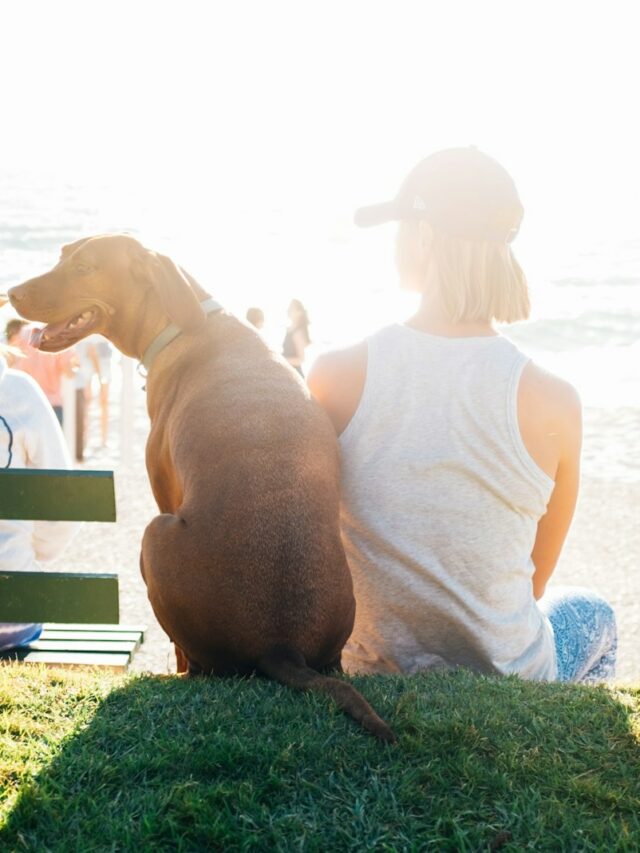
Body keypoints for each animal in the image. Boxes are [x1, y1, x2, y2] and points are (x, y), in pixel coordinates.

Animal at [8, 233, 396, 740]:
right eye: (60, 257)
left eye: (85, 267)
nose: (11, 293)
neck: (183, 322)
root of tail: (281, 645)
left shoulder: (163, 490)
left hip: (154, 534)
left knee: (194, 662)